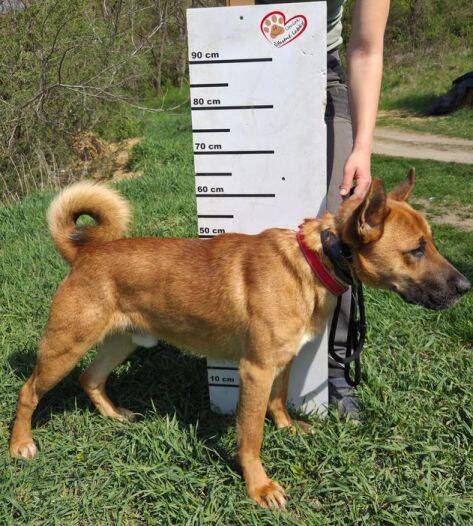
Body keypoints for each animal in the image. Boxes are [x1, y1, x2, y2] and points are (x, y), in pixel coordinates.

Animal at [9, 170, 470, 509]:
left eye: (431, 242)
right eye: (416, 250)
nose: (465, 286)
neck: (316, 258)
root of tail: (83, 253)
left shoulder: (282, 363)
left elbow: (279, 402)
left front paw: (287, 428)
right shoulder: (256, 371)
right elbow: (250, 437)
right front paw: (259, 487)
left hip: (123, 342)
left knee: (91, 379)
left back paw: (114, 416)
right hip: (65, 346)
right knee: (29, 391)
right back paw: (21, 444)